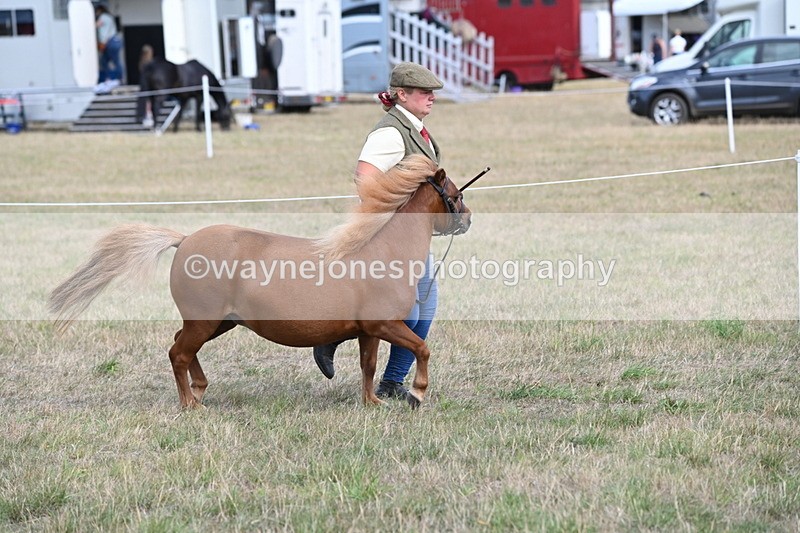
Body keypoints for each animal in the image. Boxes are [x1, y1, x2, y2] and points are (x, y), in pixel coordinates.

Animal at [48, 155, 473, 410]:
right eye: (454, 194)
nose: (468, 218)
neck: (381, 251)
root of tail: (185, 240)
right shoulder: (386, 325)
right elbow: (422, 348)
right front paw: (417, 392)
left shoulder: (368, 330)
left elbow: (368, 366)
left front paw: (373, 403)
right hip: (204, 322)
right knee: (178, 353)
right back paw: (191, 404)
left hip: (217, 322)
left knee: (180, 346)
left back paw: (199, 388)